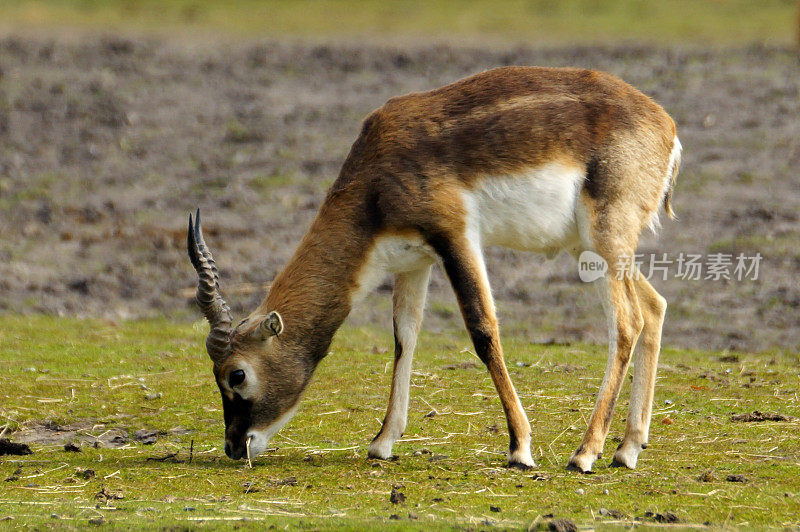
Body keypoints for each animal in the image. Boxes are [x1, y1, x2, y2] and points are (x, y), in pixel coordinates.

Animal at [188, 64, 680, 472]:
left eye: (237, 374)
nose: (234, 446)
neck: (377, 180)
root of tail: (666, 126)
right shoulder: (413, 261)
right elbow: (404, 337)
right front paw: (383, 442)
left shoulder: (456, 238)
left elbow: (483, 331)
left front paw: (520, 448)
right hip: (591, 249)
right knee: (655, 307)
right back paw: (627, 449)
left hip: (603, 240)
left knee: (627, 322)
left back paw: (585, 453)